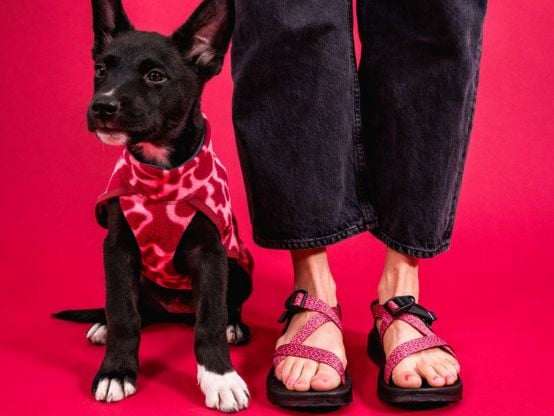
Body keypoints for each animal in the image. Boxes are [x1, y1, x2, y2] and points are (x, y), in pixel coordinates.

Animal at [53, 0, 254, 412]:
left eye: (155, 76)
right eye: (101, 69)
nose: (102, 106)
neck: (160, 173)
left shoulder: (211, 253)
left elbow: (210, 319)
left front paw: (220, 378)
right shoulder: (117, 249)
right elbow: (122, 314)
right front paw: (116, 371)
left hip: (239, 268)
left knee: (221, 308)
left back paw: (234, 326)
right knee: (137, 311)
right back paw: (101, 325)